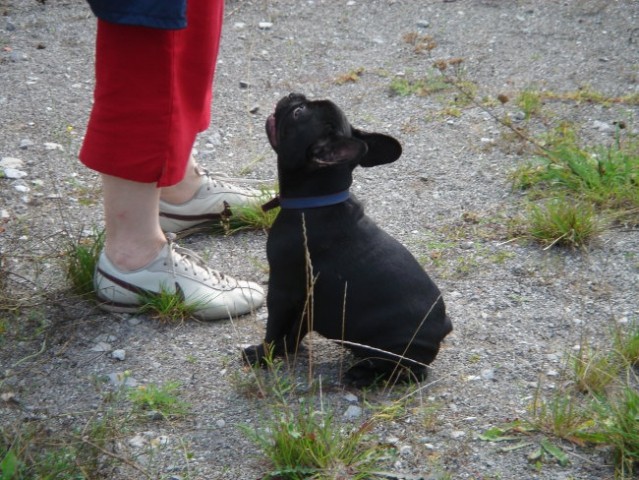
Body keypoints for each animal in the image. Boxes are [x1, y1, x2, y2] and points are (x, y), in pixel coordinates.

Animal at [242, 94, 452, 386]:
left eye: (298, 112)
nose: (294, 95)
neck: (317, 200)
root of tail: (443, 327)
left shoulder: (282, 291)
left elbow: (274, 328)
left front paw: (262, 355)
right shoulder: (306, 301)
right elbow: (296, 327)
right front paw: (289, 349)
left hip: (394, 350)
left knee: (408, 373)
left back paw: (362, 374)